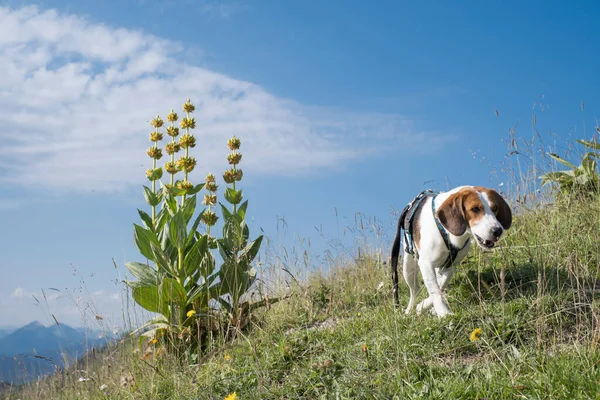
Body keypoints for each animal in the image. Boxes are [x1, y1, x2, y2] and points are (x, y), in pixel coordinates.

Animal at [392, 186, 512, 318]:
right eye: (475, 209)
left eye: (495, 208)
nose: (498, 231)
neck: (447, 232)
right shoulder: (425, 263)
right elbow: (434, 289)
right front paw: (443, 313)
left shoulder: (450, 265)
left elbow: (440, 285)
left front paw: (424, 306)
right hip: (408, 266)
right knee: (415, 290)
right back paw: (409, 311)